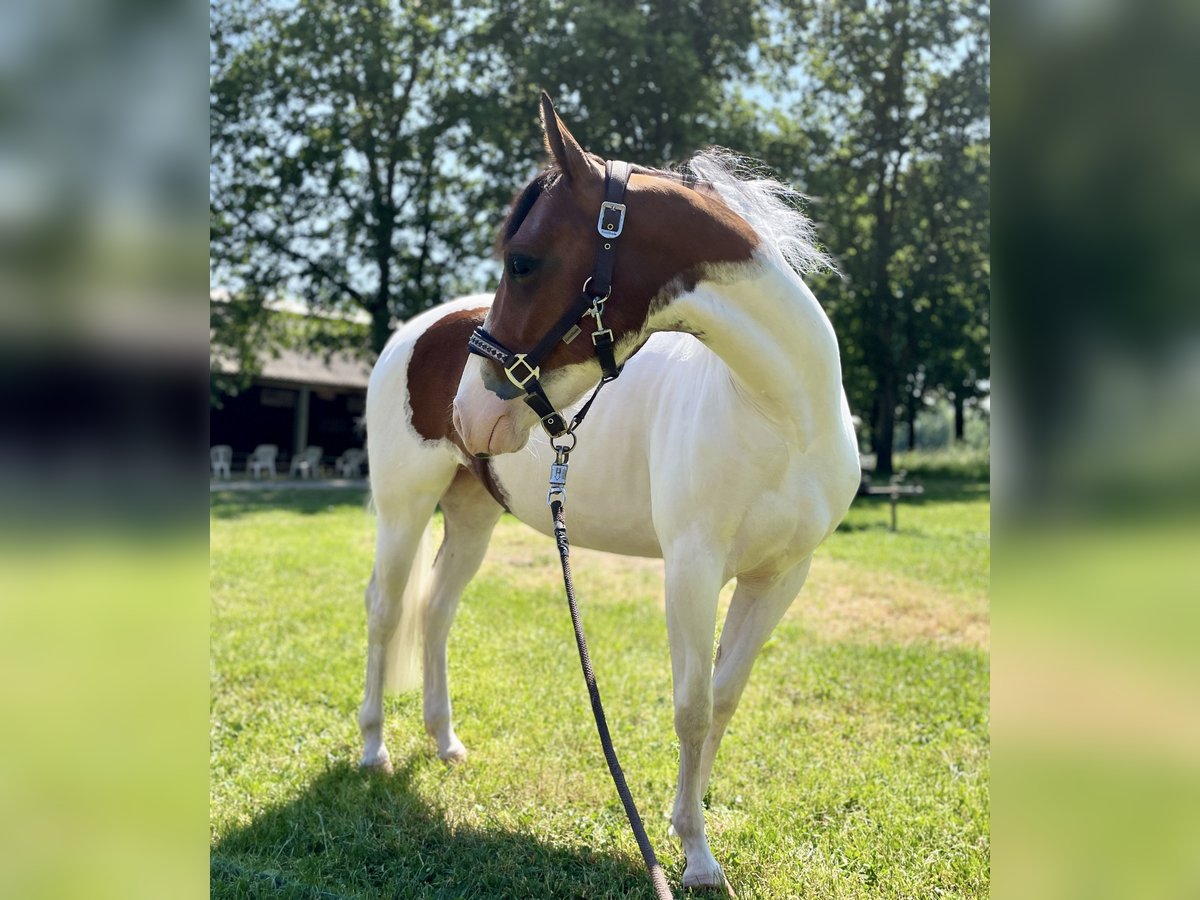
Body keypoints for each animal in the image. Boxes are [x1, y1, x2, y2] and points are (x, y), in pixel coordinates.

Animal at [358, 92, 860, 891]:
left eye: (524, 260)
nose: (473, 413)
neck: (778, 411)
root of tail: (417, 330)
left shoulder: (781, 577)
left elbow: (724, 699)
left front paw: (688, 826)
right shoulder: (692, 568)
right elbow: (690, 705)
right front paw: (695, 857)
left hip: (472, 513)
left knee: (435, 610)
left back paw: (444, 743)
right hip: (405, 507)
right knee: (385, 609)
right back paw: (373, 749)